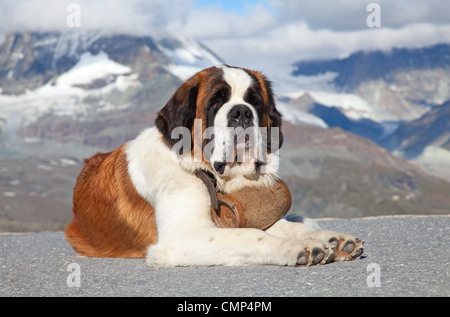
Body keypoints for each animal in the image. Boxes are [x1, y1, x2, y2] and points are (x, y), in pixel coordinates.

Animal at [66, 65, 362, 266]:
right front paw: (298, 247)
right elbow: (251, 235)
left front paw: (330, 239)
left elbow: (283, 225)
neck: (212, 176)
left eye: (255, 103)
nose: (241, 112)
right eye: (216, 102)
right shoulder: (181, 237)